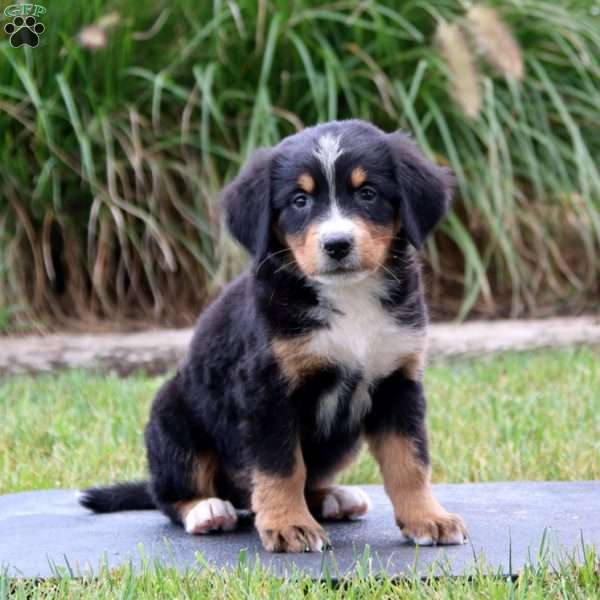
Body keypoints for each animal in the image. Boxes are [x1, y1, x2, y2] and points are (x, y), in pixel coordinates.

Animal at [79, 119, 466, 552]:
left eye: (368, 193)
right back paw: (207, 510)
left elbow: (409, 462)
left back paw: (333, 498)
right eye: (300, 200)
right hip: (171, 413)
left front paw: (428, 519)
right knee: (172, 493)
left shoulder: (397, 382)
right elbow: (281, 466)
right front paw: (288, 525)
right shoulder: (267, 391)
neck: (349, 298)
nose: (337, 244)